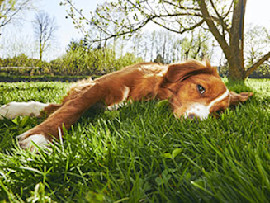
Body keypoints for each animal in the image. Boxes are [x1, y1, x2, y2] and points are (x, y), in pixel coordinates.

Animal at [0, 59, 253, 150]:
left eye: (218, 113)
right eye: (200, 88)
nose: (195, 122)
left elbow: (65, 109)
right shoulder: (98, 87)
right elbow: (71, 109)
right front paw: (41, 137)